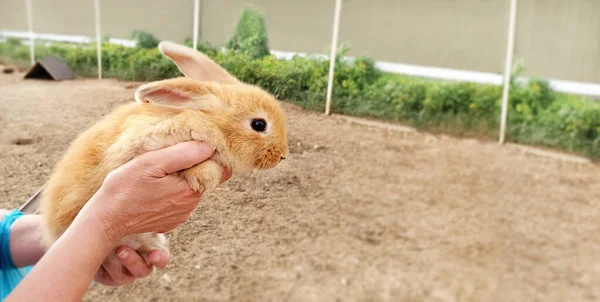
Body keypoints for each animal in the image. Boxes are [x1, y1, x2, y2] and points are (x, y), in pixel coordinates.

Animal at [38, 41, 290, 266]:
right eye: (259, 124)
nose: (282, 156)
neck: (212, 121)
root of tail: (53, 234)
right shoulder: (147, 141)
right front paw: (205, 177)